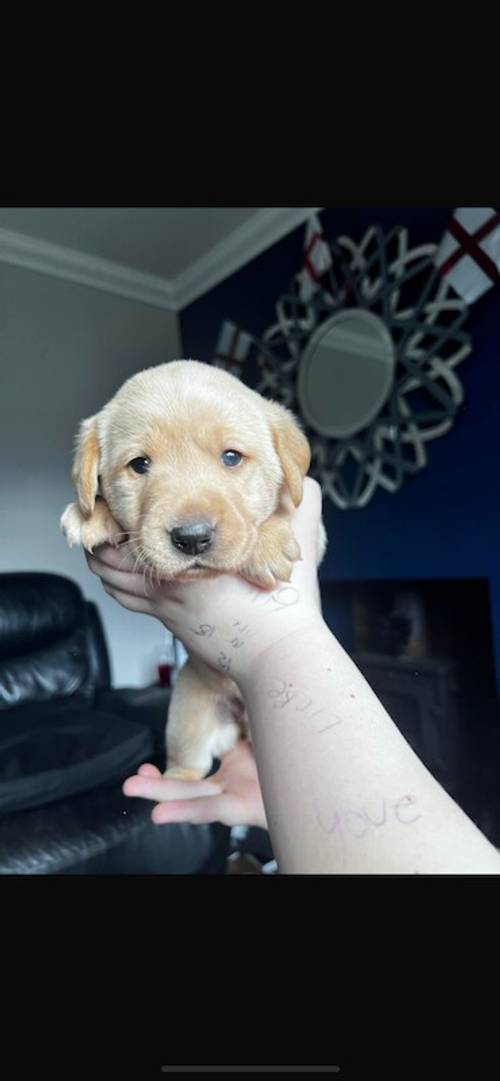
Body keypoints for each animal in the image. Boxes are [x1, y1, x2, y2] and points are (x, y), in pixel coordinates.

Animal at [59, 361, 323, 778]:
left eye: (231, 457)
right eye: (139, 464)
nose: (192, 538)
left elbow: (282, 509)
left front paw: (267, 542)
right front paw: (91, 514)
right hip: (186, 720)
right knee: (185, 768)